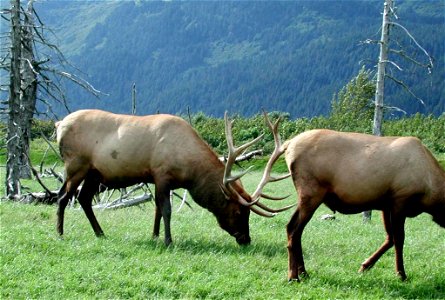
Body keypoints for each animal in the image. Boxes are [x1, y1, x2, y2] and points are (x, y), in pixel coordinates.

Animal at [54, 109, 292, 245]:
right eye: (238, 212)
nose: (246, 239)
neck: (190, 171)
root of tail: (58, 125)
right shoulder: (161, 174)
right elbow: (166, 210)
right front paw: (168, 240)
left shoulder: (159, 179)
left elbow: (157, 210)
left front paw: (155, 236)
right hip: (76, 164)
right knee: (62, 196)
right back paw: (60, 233)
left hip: (94, 173)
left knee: (83, 198)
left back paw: (100, 233)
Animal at [284, 129, 444, 282]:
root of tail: (288, 144)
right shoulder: (400, 200)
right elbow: (399, 239)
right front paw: (401, 274)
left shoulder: (386, 205)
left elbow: (390, 238)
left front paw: (365, 266)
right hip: (312, 193)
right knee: (293, 229)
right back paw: (294, 276)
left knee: (295, 230)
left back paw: (303, 272)